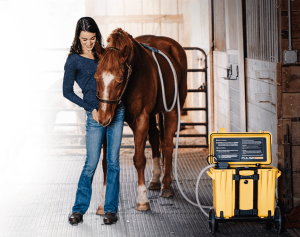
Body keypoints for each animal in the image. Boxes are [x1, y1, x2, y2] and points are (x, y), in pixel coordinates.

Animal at [94, 28, 188, 213]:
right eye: (96, 78)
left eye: (120, 81)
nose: (102, 118)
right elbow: (106, 162)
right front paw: (103, 201)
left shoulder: (141, 119)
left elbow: (139, 159)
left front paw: (142, 199)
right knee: (155, 140)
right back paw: (156, 180)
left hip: (172, 109)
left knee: (167, 144)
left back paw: (166, 185)